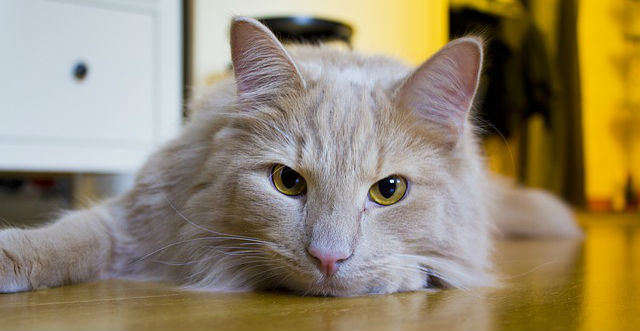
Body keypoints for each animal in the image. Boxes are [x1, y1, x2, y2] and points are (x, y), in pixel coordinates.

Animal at [0, 16, 580, 296]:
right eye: (287, 182)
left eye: (389, 191)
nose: (328, 258)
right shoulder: (137, 219)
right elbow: (67, 239)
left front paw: (402, 276)